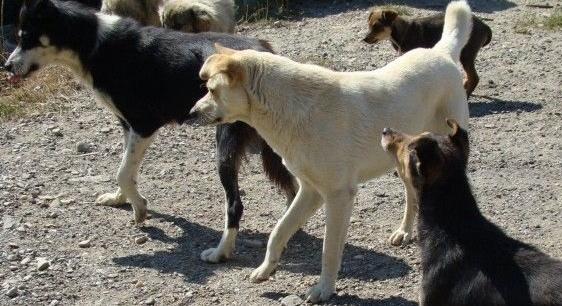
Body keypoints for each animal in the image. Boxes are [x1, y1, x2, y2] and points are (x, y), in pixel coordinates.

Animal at [4, 0, 296, 262]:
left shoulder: (144, 125)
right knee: (292, 187)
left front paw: (140, 208)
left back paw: (221, 251)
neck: (95, 44)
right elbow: (127, 170)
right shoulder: (128, 127)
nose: (6, 67)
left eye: (26, 37)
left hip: (225, 147)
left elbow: (122, 172)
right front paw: (122, 199)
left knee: (235, 204)